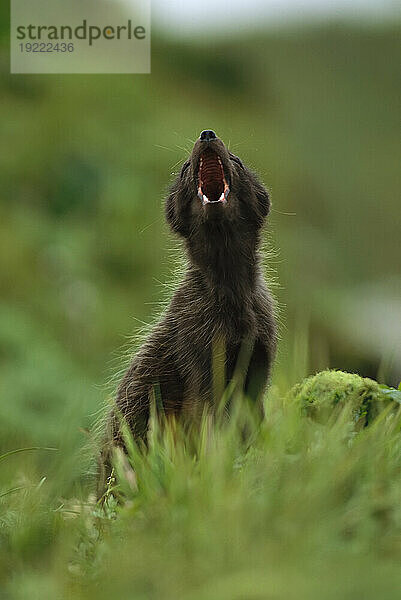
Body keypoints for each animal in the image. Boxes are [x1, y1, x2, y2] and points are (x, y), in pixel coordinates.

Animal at [111, 129, 276, 442]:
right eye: (185, 168)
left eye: (237, 159)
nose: (208, 134)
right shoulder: (201, 356)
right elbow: (209, 424)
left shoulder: (259, 359)